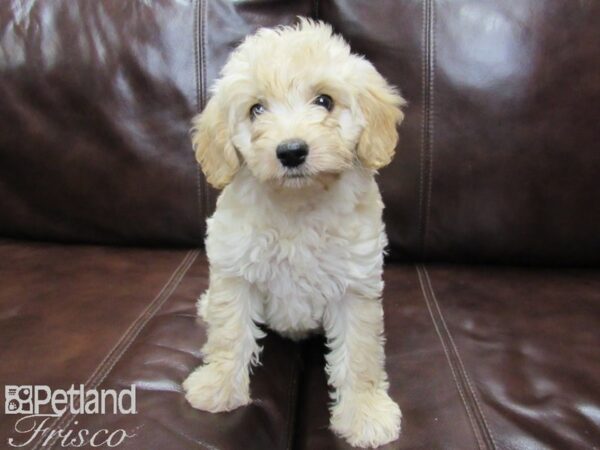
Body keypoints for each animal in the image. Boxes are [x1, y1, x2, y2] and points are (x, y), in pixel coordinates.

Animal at [183, 19, 406, 448]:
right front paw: (218, 386)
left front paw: (365, 413)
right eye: (256, 109)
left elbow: (360, 353)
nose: (290, 151)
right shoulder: (235, 270)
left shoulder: (355, 285)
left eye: (324, 101)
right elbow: (229, 331)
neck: (298, 205)